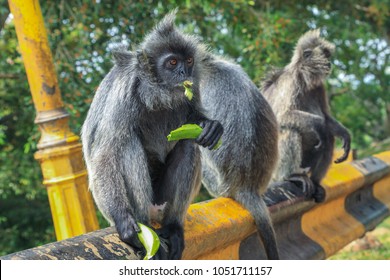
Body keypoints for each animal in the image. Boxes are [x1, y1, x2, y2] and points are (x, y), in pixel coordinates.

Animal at [80, 12, 222, 260]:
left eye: (188, 61)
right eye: (172, 63)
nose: (184, 73)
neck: (157, 94)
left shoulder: (192, 87)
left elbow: (193, 118)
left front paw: (210, 126)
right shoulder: (125, 91)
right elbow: (105, 155)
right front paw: (124, 221)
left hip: (162, 200)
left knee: (188, 145)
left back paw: (173, 226)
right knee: (127, 144)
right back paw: (142, 225)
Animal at [262, 29, 350, 201]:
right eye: (325, 54)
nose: (330, 63)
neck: (304, 78)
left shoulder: (319, 87)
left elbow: (326, 119)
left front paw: (345, 134)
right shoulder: (290, 82)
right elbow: (280, 117)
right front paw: (318, 124)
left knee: (328, 138)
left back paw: (315, 182)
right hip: (274, 169)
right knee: (290, 129)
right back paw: (291, 176)